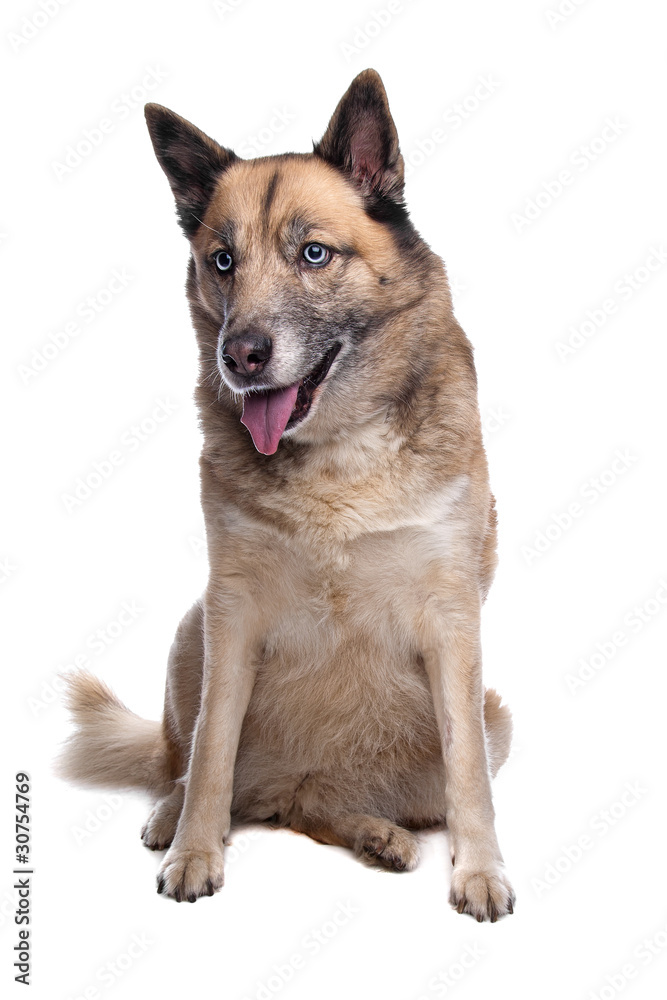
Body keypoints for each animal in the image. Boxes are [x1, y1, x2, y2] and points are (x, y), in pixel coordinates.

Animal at [58, 66, 516, 916]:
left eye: (313, 253)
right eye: (221, 261)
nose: (241, 356)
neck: (333, 456)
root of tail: (299, 782)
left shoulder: (452, 622)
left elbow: (467, 772)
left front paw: (477, 870)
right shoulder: (230, 612)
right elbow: (210, 750)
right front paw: (194, 851)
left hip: (490, 715)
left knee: (324, 806)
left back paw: (374, 832)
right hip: (189, 631)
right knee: (191, 762)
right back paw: (172, 816)